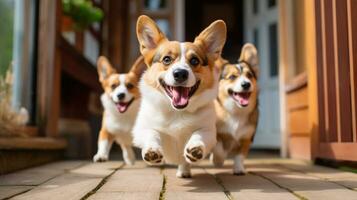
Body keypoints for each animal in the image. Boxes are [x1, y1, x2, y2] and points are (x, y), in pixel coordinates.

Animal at [132, 16, 227, 178]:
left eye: (194, 61)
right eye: (166, 59)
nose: (180, 73)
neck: (177, 112)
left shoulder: (208, 130)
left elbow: (198, 134)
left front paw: (195, 148)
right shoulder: (141, 129)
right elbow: (152, 133)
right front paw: (152, 150)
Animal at [210, 43, 258, 175]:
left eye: (249, 75)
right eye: (232, 77)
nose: (246, 84)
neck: (236, 111)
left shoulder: (246, 138)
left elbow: (240, 156)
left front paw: (239, 168)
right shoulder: (217, 134)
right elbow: (218, 147)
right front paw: (218, 160)